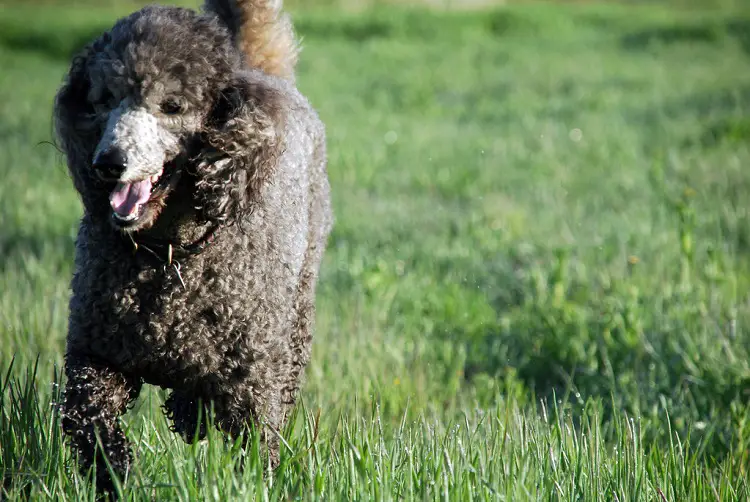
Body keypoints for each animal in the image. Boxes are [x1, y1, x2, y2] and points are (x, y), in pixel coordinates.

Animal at [54, 0, 334, 494]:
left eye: (173, 106)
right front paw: (116, 479)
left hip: (296, 316)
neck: (166, 255)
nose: (108, 162)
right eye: (103, 100)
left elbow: (256, 448)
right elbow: (89, 421)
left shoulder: (252, 380)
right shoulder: (96, 354)